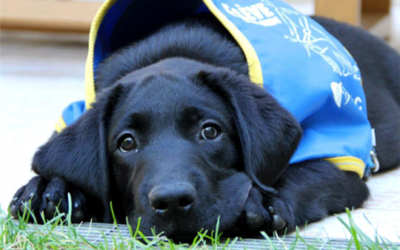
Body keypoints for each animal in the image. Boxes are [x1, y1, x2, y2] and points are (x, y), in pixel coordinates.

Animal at [8, 14, 400, 240]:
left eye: (210, 131)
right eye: (126, 143)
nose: (172, 201)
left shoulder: (341, 164)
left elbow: (300, 174)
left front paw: (260, 198)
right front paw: (49, 188)